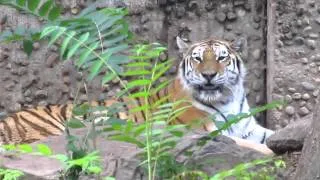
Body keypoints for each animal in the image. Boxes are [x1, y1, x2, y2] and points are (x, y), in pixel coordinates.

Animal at [0, 37, 276, 155]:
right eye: (198, 58)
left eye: (221, 57)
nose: (208, 75)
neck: (227, 99)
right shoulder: (203, 131)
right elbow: (248, 145)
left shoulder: (249, 127)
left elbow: (270, 136)